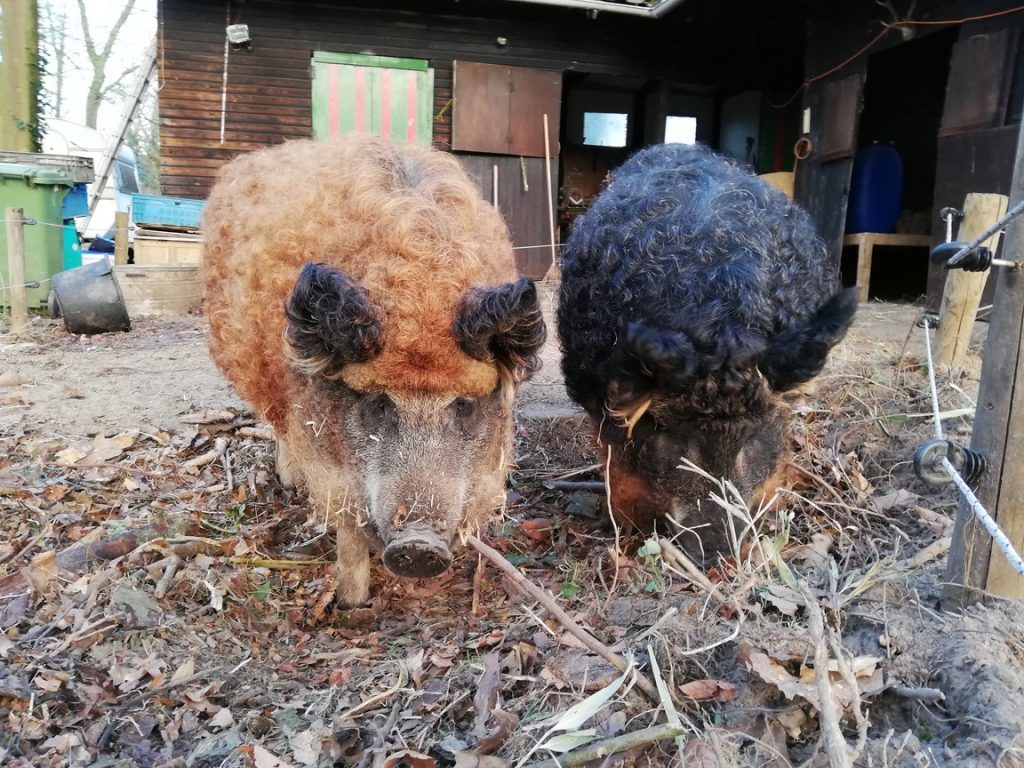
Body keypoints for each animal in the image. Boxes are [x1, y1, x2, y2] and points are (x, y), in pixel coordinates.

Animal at [202, 137, 548, 606]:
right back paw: (289, 482)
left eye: (464, 406)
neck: (421, 289)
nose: (418, 545)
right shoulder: (331, 465)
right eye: (378, 403)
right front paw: (352, 602)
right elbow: (346, 524)